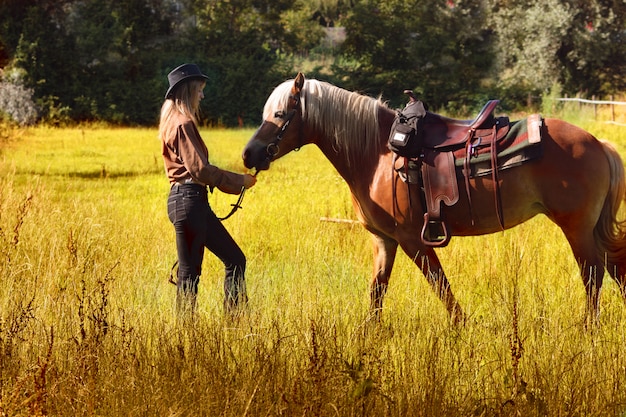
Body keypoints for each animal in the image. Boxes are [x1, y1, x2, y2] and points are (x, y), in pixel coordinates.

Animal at [241, 73, 624, 324]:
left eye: (280, 114)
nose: (249, 155)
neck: (377, 154)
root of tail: (598, 143)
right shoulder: (384, 240)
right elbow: (377, 291)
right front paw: (370, 337)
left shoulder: (413, 239)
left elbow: (441, 287)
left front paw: (460, 329)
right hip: (590, 229)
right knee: (614, 270)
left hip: (577, 229)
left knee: (593, 276)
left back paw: (587, 329)